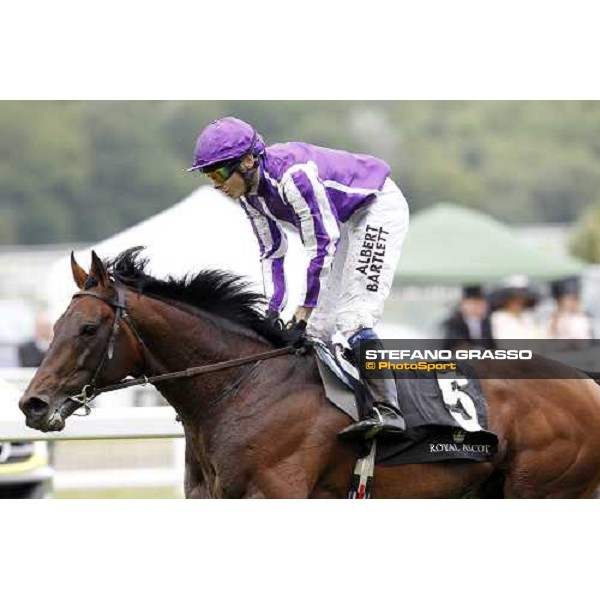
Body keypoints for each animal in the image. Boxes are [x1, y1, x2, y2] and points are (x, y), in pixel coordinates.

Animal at [17, 248, 600, 496]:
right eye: (57, 325)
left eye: (87, 328)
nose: (32, 404)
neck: (243, 386)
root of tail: (585, 385)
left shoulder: (279, 494)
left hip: (542, 490)